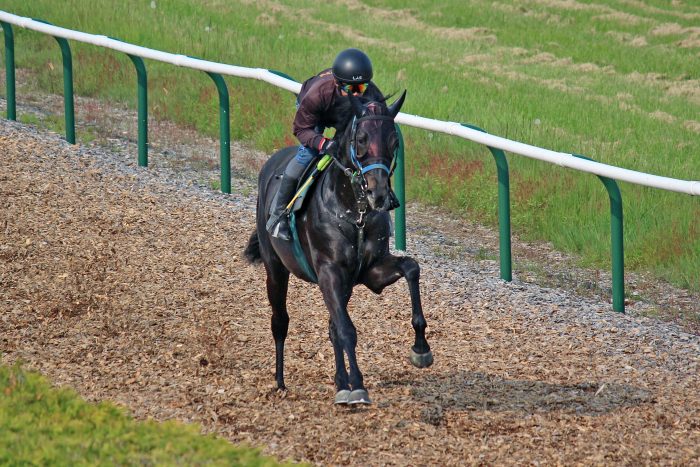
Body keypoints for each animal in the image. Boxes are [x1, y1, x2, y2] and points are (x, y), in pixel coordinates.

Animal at [244, 90, 433, 405]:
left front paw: (421, 349)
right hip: (276, 268)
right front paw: (357, 386)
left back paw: (339, 381)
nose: (379, 194)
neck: (354, 213)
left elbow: (411, 267)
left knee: (332, 324)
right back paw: (280, 381)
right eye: (362, 139)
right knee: (280, 321)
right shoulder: (329, 272)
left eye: (394, 141)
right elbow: (346, 330)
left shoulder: (369, 272)